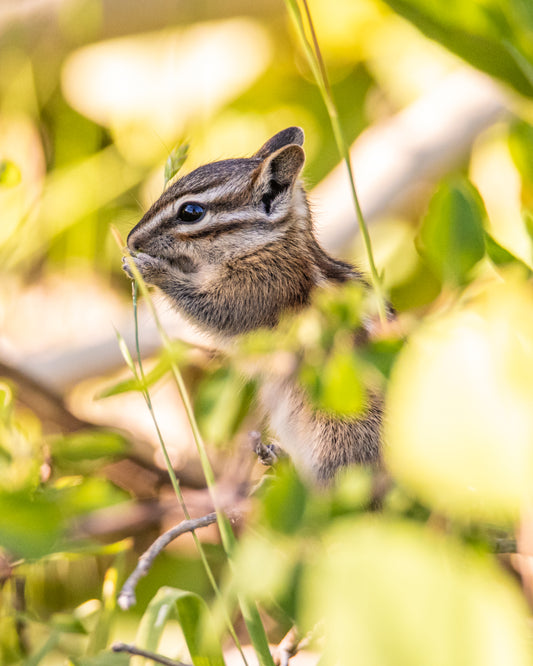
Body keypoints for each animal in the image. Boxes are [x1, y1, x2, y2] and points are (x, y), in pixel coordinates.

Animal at [123, 127, 383, 482]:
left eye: (191, 212)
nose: (131, 240)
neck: (271, 245)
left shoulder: (261, 288)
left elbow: (213, 309)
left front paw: (147, 268)